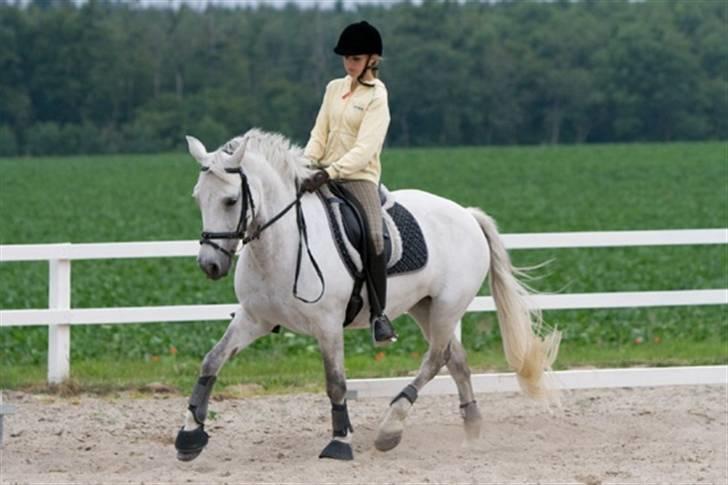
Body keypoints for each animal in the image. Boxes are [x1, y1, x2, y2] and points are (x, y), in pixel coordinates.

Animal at [174, 128, 561, 462]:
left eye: (231, 200)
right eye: (198, 198)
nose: (210, 265)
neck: (281, 244)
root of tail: (465, 214)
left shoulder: (327, 325)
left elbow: (336, 384)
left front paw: (340, 442)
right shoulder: (254, 318)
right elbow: (211, 361)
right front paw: (190, 436)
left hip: (448, 306)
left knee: (436, 358)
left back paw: (391, 427)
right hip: (424, 307)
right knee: (456, 359)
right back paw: (472, 427)